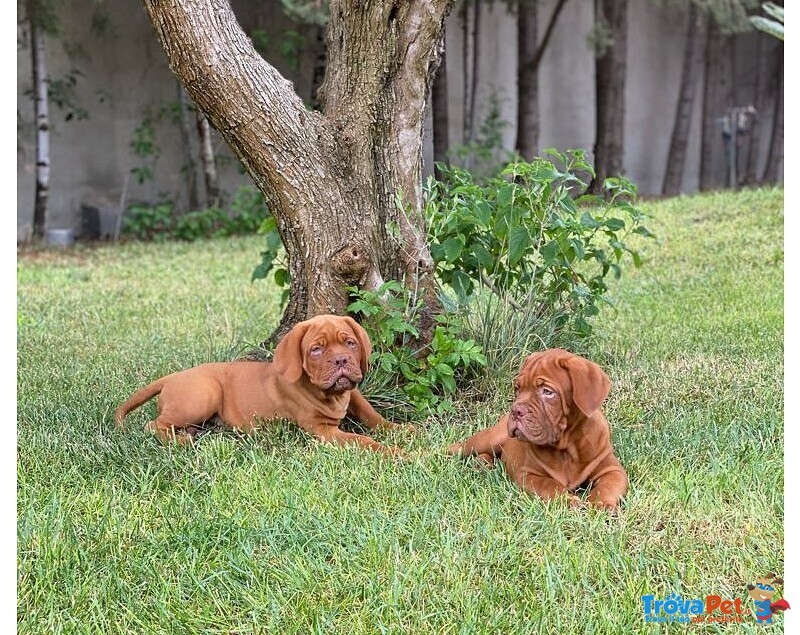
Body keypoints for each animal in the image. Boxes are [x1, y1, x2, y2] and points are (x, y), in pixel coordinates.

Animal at [115, 316, 410, 454]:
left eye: (350, 342)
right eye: (315, 350)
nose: (341, 360)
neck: (332, 395)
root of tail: (171, 377)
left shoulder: (353, 391)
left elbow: (373, 416)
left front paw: (404, 431)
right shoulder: (323, 431)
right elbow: (364, 440)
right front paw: (399, 453)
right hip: (204, 394)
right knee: (153, 425)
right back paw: (181, 440)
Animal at [450, 350, 624, 510]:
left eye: (547, 392)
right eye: (517, 388)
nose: (516, 410)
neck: (567, 447)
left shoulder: (611, 469)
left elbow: (607, 486)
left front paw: (603, 505)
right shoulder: (528, 475)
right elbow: (551, 485)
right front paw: (569, 501)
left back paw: (482, 463)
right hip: (490, 438)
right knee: (463, 447)